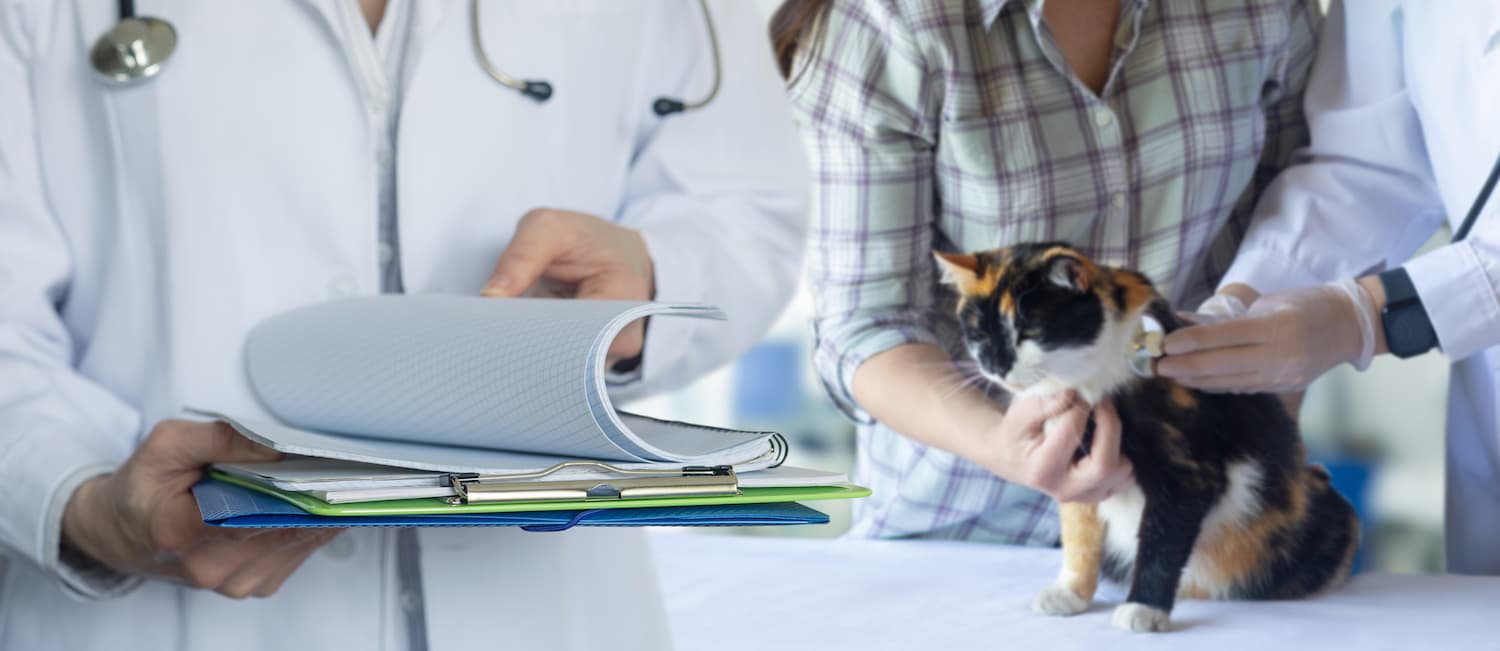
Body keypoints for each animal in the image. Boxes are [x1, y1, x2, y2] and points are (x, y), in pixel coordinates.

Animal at [930, 243, 1368, 630]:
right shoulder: (1077, 469)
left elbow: (1161, 538)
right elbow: (1079, 532)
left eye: (1029, 329)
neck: (1090, 379)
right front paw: (1070, 592)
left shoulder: (1187, 469)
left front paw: (1144, 609)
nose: (996, 366)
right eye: (978, 334)